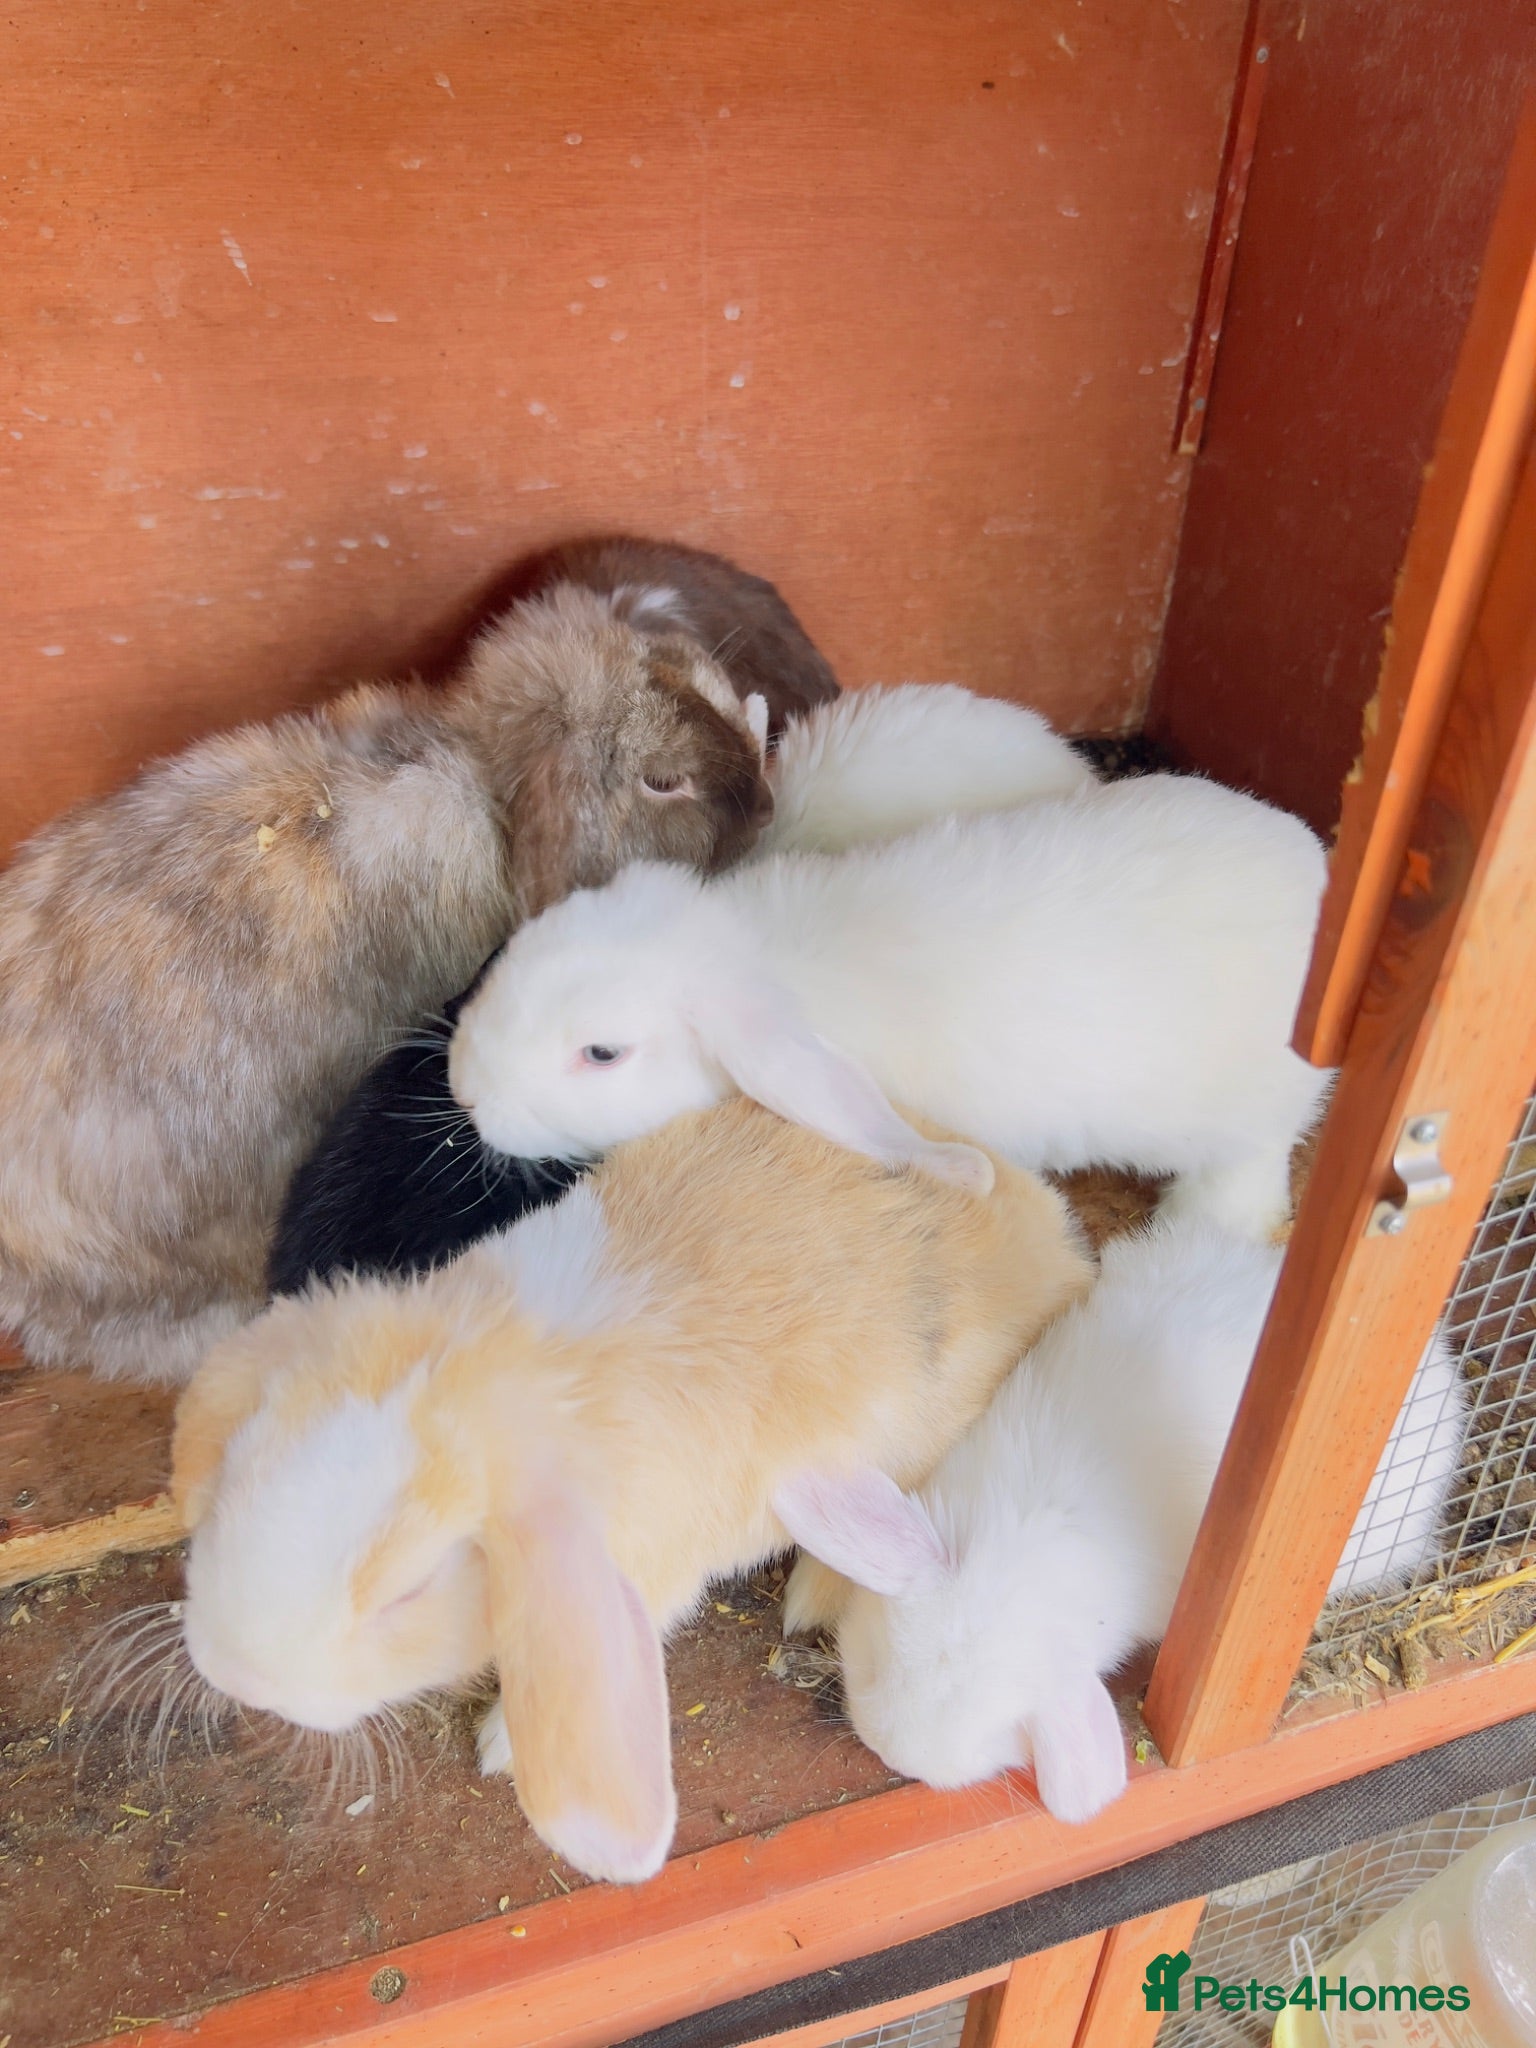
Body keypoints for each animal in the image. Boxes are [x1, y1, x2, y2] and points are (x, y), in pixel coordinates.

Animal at [170, 1096, 1093, 1884]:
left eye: (410, 1589)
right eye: (247, 1458)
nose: (231, 1669)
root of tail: (1055, 1248)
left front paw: (501, 1745)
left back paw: (813, 1596)